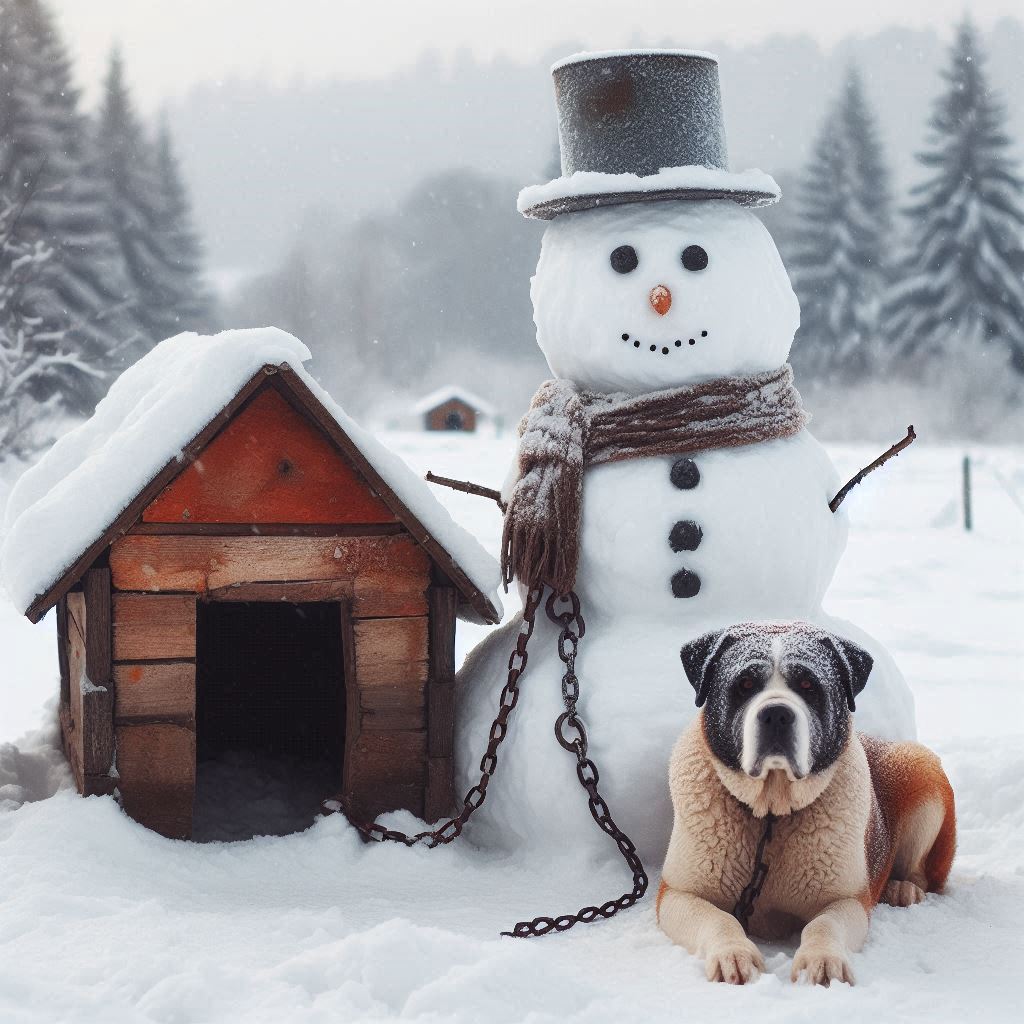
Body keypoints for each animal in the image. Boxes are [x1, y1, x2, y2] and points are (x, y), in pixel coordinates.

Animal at [659, 618, 954, 987]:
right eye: (744, 684)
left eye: (808, 685)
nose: (776, 714)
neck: (770, 817)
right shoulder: (676, 893)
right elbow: (717, 918)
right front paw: (733, 956)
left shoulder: (847, 899)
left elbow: (823, 923)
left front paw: (823, 960)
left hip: (919, 766)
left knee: (923, 874)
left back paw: (902, 889)